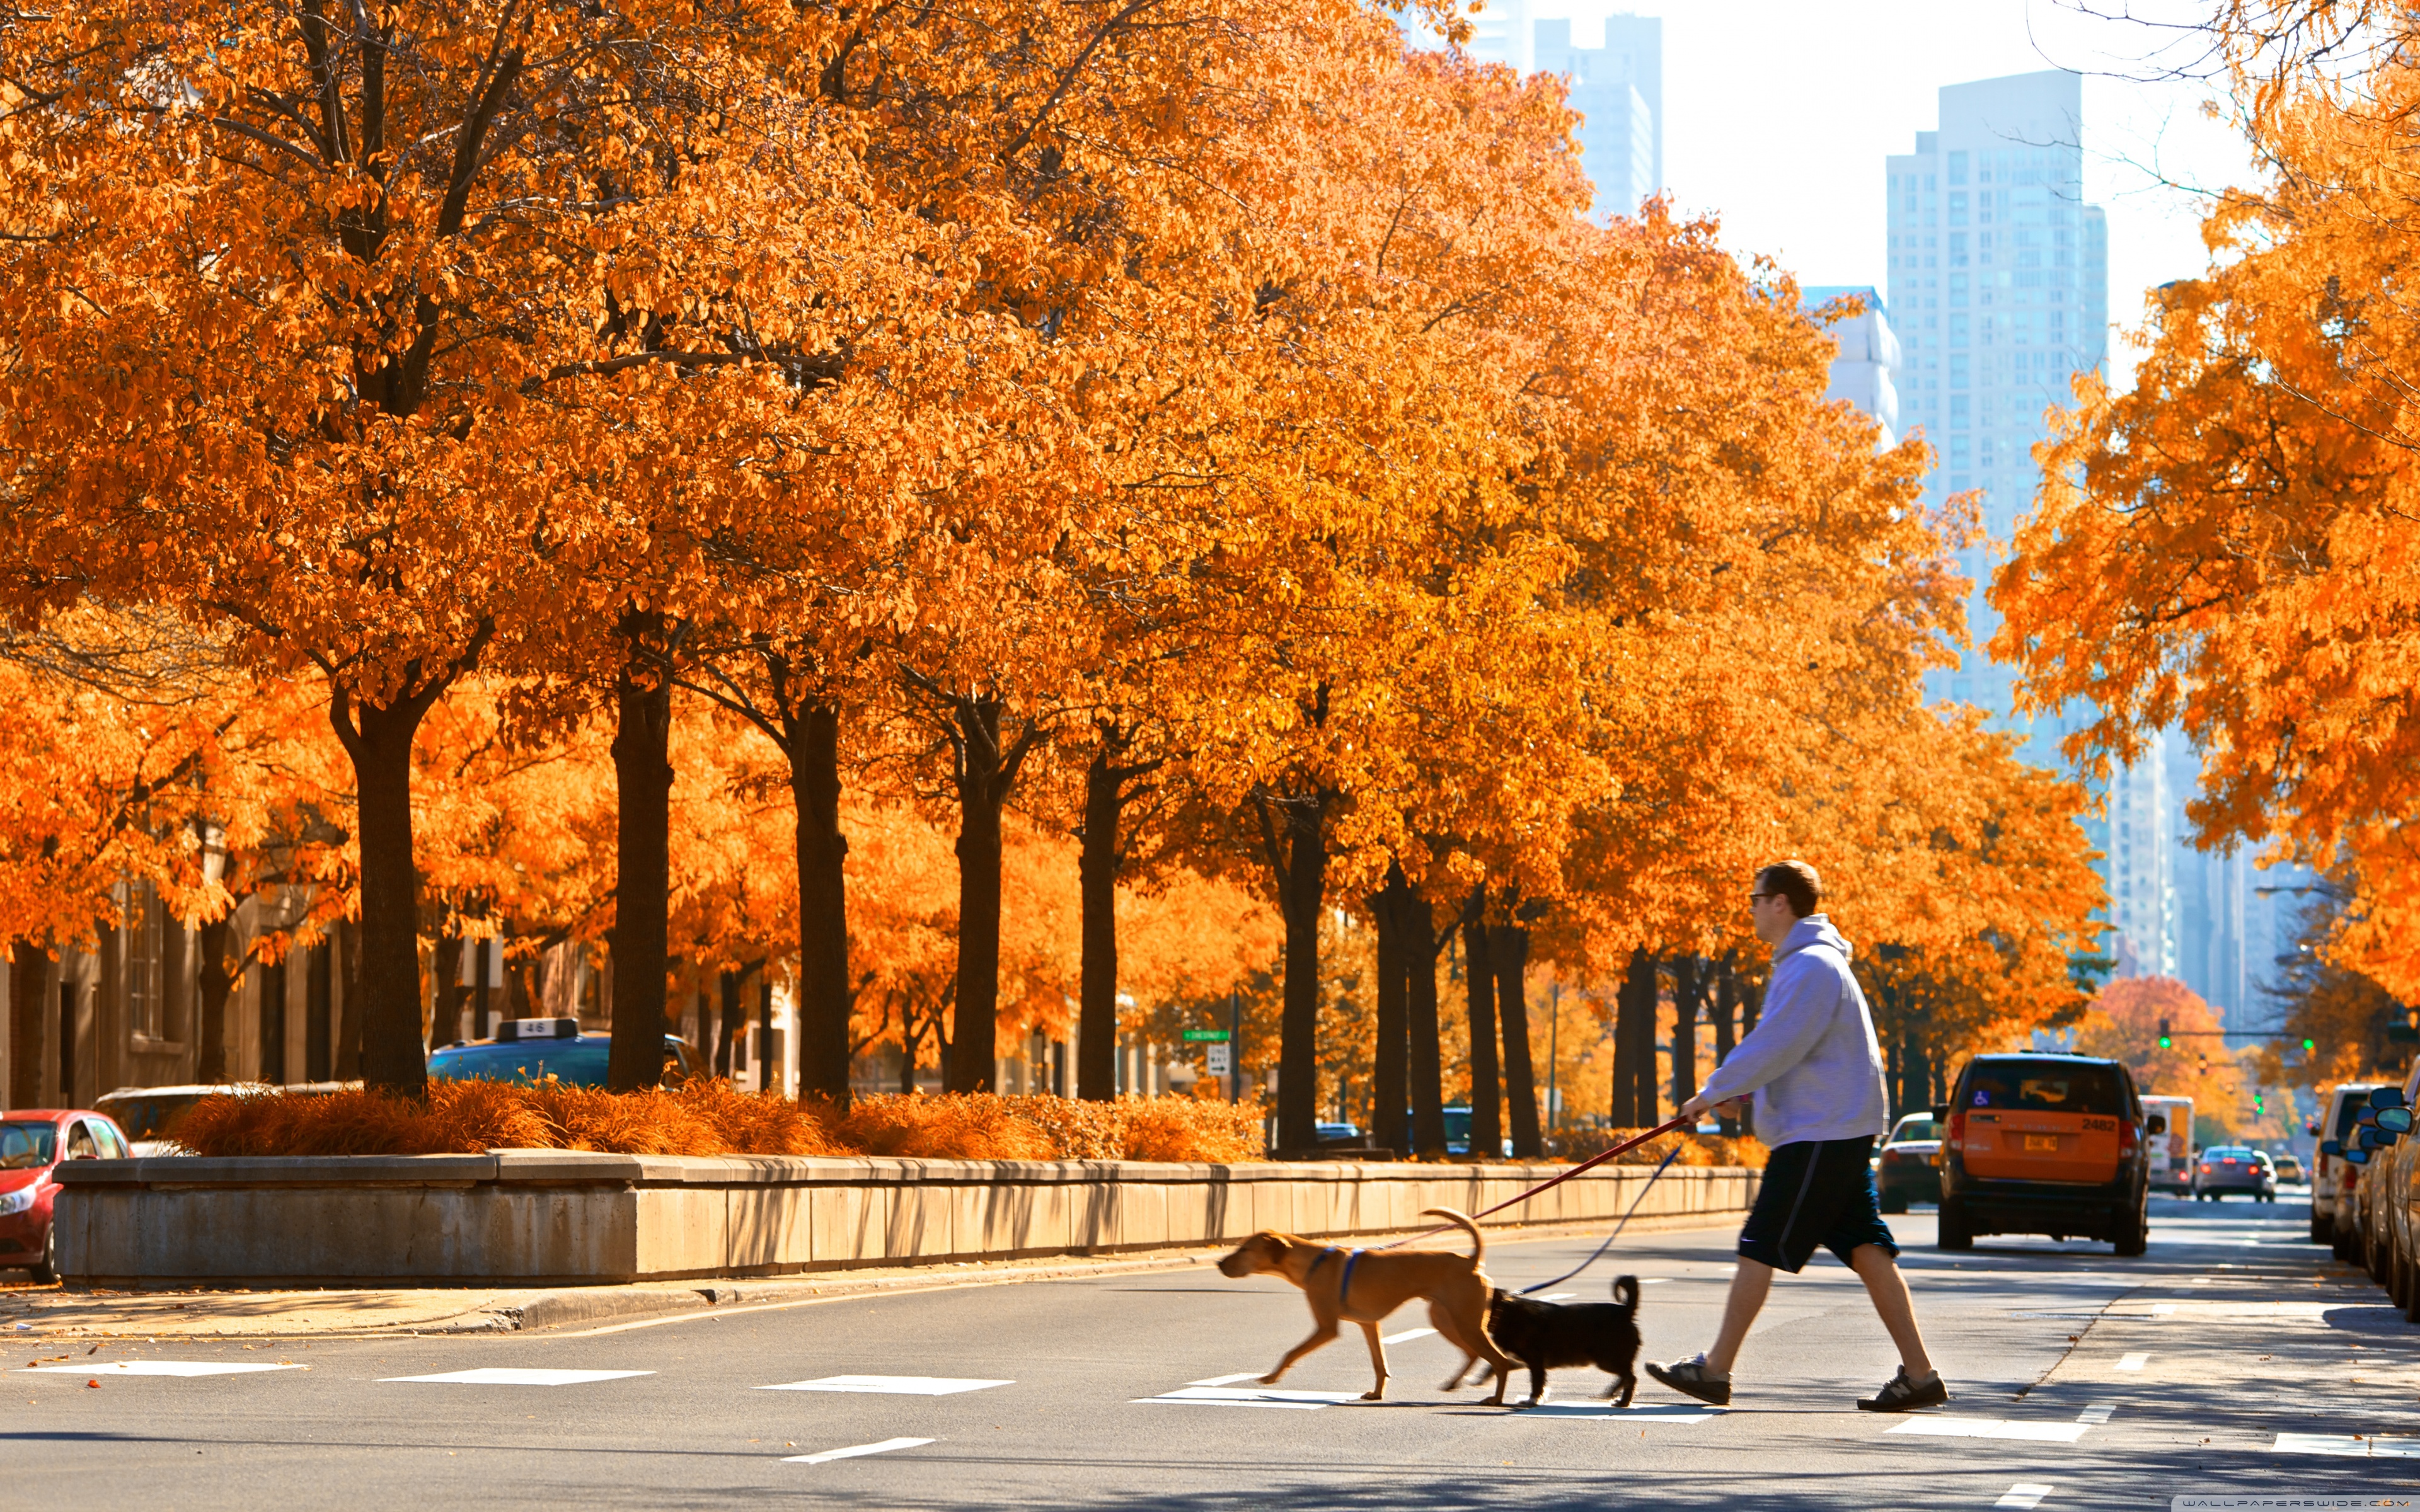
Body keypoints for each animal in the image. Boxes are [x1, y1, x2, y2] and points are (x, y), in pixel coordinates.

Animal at [1219, 1205, 1500, 1403]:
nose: (1219, 1263)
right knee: (1474, 1354)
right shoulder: (1369, 1324)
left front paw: (1272, 1376)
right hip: (1446, 1319)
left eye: (1244, 1249)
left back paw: (1495, 1398)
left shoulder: (1327, 1328)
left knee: (1498, 1361)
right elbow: (1380, 1365)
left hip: (1465, 1323)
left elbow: (1291, 1352)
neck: (1314, 1263)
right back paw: (1455, 1383)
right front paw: (1377, 1394)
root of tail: (1471, 1261)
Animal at [1471, 1277, 1645, 1403]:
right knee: (1626, 1377)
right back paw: (1613, 1394)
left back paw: (1623, 1402)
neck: (1503, 1311)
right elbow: (1492, 1368)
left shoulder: (1535, 1361)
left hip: (1607, 1359)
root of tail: (1625, 1312)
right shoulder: (1517, 1360)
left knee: (1631, 1378)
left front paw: (1532, 1400)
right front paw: (1478, 1380)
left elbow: (1537, 1382)